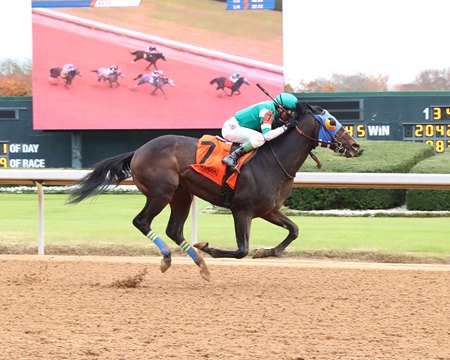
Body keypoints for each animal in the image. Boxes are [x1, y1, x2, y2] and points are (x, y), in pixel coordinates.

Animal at [68, 102, 360, 280]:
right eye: (331, 122)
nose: (355, 146)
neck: (273, 160)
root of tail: (138, 150)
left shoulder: (269, 210)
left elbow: (294, 230)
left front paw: (267, 252)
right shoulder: (242, 210)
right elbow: (241, 250)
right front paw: (210, 248)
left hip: (182, 194)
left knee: (174, 229)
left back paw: (201, 264)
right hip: (162, 192)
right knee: (142, 221)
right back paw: (170, 257)